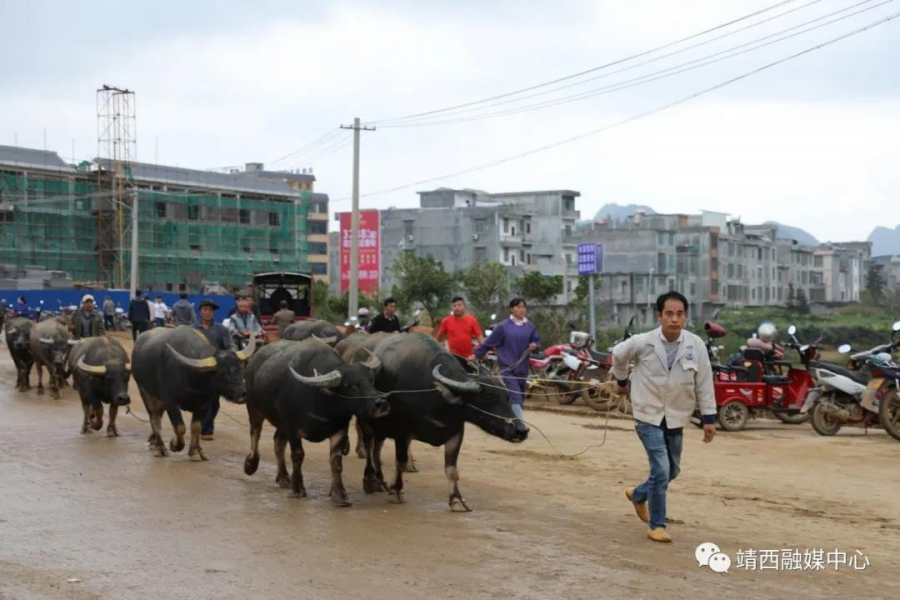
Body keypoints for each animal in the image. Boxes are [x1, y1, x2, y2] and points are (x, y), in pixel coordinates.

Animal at [130, 326, 251, 462]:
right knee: (154, 418)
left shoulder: (204, 404)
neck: (192, 378)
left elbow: (196, 427)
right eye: (221, 373)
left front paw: (195, 451)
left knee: (158, 416)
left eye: (240, 369)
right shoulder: (170, 402)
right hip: (145, 392)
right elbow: (180, 427)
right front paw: (174, 444)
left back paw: (153, 441)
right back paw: (160, 448)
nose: (243, 393)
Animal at [243, 338, 386, 506]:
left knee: (278, 441)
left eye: (371, 381)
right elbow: (298, 455)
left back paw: (284, 477)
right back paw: (251, 464)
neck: (320, 401)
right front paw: (297, 489)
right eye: (349, 385)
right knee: (255, 432)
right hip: (253, 407)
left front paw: (339, 494)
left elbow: (336, 461)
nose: (381, 403)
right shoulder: (292, 427)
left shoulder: (340, 428)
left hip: (281, 424)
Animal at [364, 332, 524, 510]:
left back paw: (380, 480)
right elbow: (401, 462)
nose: (521, 431)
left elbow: (452, 470)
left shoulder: (456, 433)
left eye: (507, 396)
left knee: (377, 449)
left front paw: (457, 499)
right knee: (368, 447)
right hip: (368, 423)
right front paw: (397, 492)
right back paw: (370, 480)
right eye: (489, 397)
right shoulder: (402, 433)